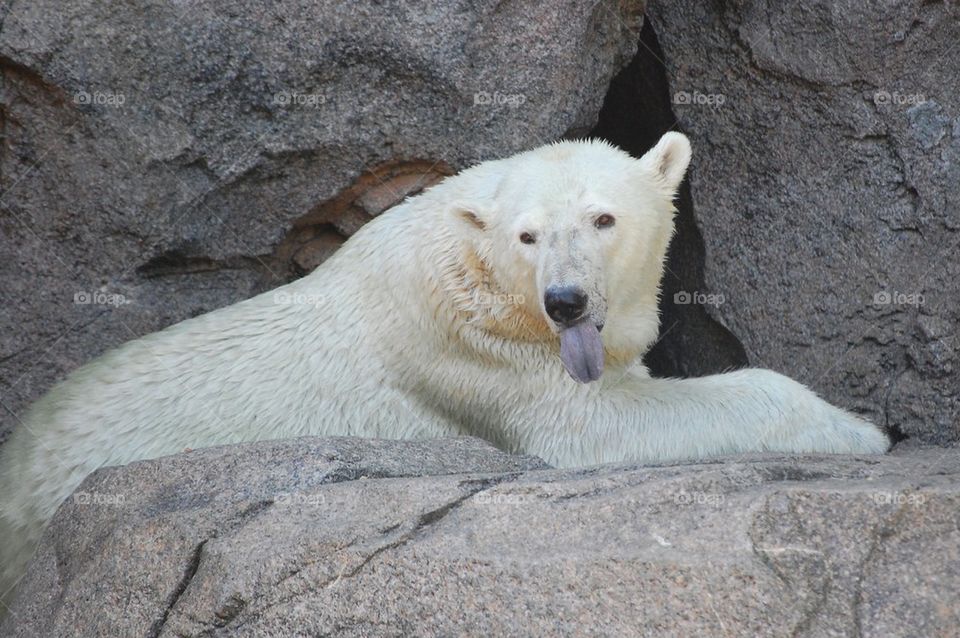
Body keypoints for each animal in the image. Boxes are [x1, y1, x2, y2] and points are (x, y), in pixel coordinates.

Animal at [0, 132, 888, 612]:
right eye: (528, 235)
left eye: (604, 217)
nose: (566, 301)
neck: (472, 267)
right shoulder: (477, 351)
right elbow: (596, 424)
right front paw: (859, 427)